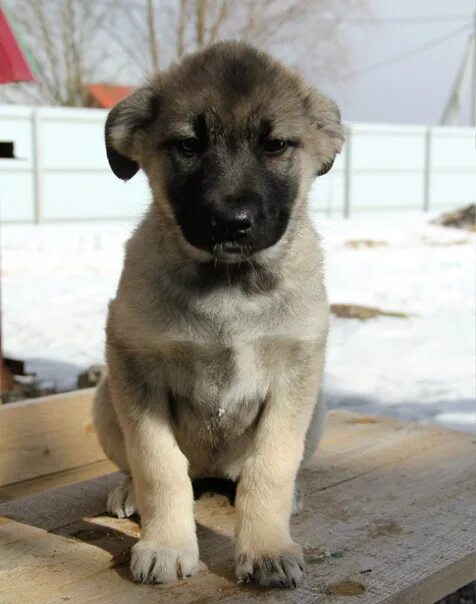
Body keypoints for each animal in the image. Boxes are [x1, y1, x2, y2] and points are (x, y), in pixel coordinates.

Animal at [94, 40, 342, 588]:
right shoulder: (134, 367)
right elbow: (158, 464)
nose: (231, 221)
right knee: (152, 469)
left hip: (317, 412)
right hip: (104, 401)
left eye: (276, 145)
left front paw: (267, 549)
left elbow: (270, 467)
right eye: (189, 145)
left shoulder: (295, 375)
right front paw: (166, 545)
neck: (231, 285)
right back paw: (128, 491)